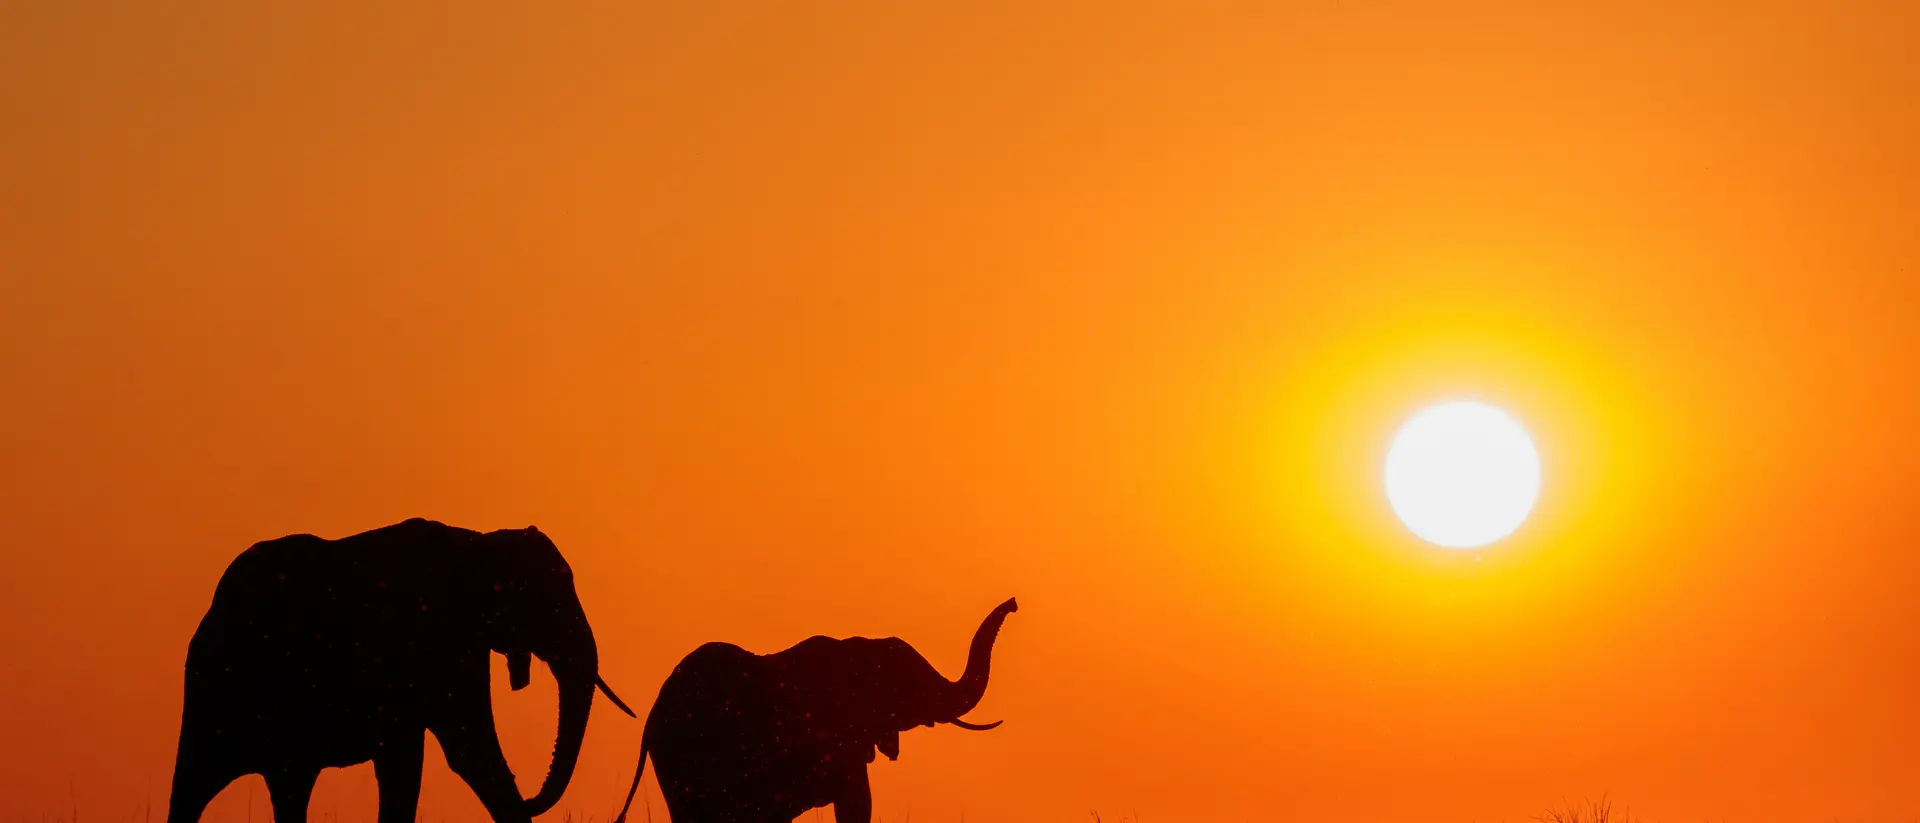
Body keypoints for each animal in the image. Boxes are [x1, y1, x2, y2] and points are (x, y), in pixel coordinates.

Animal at [167, 518, 635, 823]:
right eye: (546, 602)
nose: (531, 796)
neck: (477, 544)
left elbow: (452, 755)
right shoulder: (415, 639)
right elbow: (453, 752)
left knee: (290, 785)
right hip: (215, 685)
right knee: (193, 784)